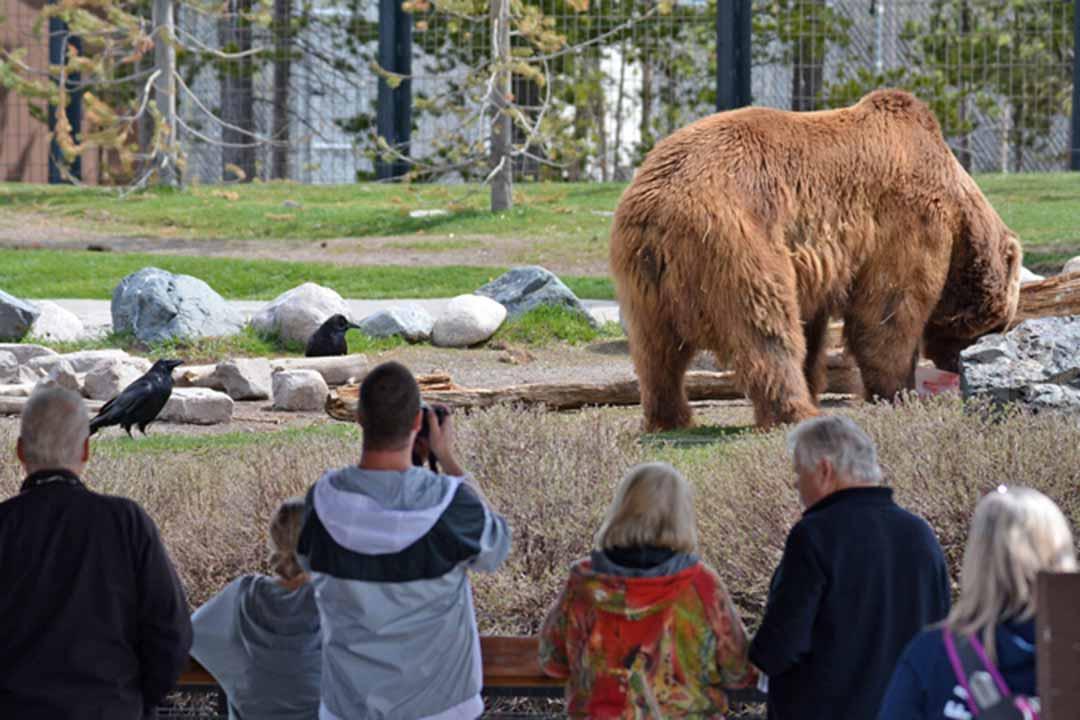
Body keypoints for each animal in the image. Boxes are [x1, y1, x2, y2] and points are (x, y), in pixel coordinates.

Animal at [610, 89, 1021, 431]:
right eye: (998, 325)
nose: (959, 364)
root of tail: (657, 214)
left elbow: (815, 325)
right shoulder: (909, 218)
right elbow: (888, 310)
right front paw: (899, 392)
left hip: (643, 281)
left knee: (656, 353)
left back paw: (669, 417)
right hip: (736, 241)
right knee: (765, 327)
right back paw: (796, 411)